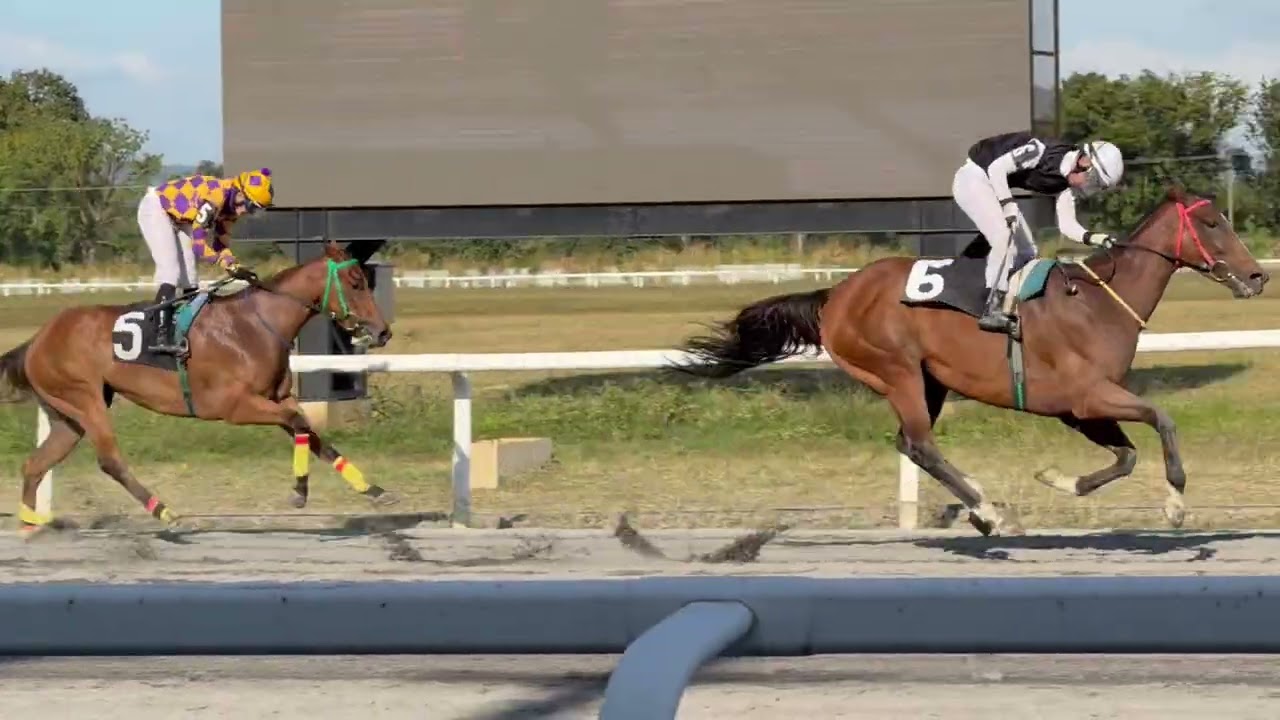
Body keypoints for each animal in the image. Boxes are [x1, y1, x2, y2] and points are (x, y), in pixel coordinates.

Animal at [0, 240, 398, 536]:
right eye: (357, 282)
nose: (383, 331)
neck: (256, 325)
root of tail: (37, 340)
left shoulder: (278, 399)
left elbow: (316, 438)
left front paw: (374, 490)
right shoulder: (236, 406)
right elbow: (301, 426)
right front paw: (299, 492)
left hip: (67, 415)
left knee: (35, 464)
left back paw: (31, 525)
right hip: (84, 399)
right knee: (109, 460)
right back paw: (164, 512)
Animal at [670, 185, 1269, 536]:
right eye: (1212, 224)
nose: (1258, 275)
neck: (1099, 302)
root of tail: (834, 295)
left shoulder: (1078, 410)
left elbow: (1124, 457)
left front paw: (1056, 479)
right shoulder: (1086, 395)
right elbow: (1162, 420)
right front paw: (1175, 505)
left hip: (927, 381)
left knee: (909, 444)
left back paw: (982, 506)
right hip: (896, 371)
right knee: (919, 444)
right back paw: (987, 512)